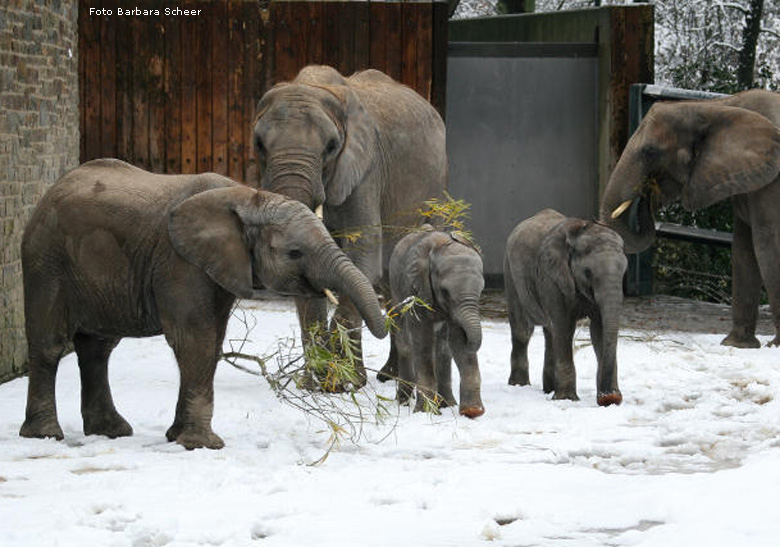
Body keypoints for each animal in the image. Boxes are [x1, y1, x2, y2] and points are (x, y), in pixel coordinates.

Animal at [22, 158, 388, 450]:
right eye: (294, 253)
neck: (248, 198)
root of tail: (48, 193)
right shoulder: (179, 261)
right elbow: (194, 339)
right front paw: (203, 445)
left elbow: (212, 342)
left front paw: (177, 438)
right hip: (46, 261)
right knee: (50, 344)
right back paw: (45, 436)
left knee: (98, 348)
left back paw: (111, 432)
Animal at [386, 227, 484, 420]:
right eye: (445, 291)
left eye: (481, 290)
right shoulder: (415, 289)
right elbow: (422, 340)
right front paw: (425, 413)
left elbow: (456, 340)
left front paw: (472, 412)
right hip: (396, 288)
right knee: (406, 342)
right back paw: (403, 402)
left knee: (442, 350)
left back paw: (448, 404)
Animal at [506, 210, 628, 406]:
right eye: (588, 272)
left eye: (624, 273)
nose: (609, 398)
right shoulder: (551, 276)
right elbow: (564, 326)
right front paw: (567, 399)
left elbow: (600, 330)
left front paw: (608, 398)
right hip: (511, 274)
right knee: (523, 330)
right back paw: (519, 385)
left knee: (549, 332)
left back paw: (548, 390)